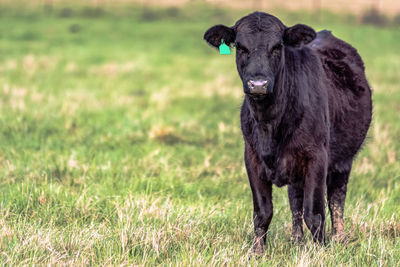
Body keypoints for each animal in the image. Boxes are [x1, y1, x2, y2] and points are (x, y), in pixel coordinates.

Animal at [205, 12, 374, 255]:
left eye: (277, 46)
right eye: (240, 47)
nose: (258, 84)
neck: (270, 123)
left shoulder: (317, 157)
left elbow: (314, 214)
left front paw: (320, 252)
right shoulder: (252, 157)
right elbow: (263, 213)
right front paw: (257, 253)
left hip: (343, 160)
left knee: (336, 198)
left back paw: (339, 239)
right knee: (296, 201)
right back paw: (297, 241)